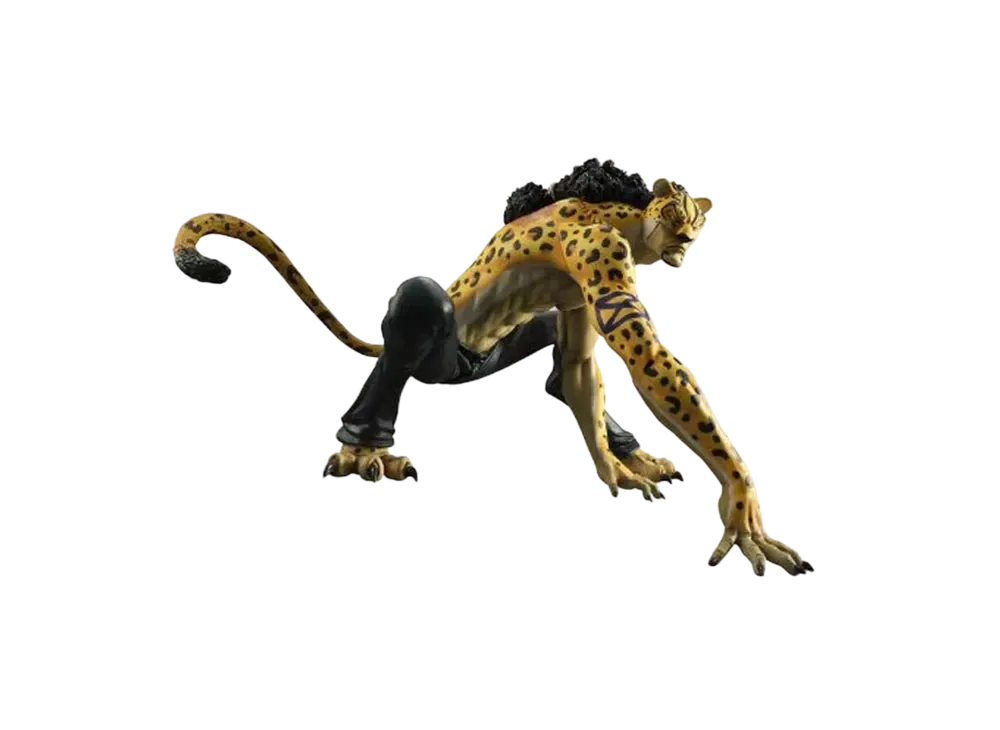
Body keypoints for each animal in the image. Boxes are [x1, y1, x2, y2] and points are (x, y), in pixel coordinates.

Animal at [169, 158, 812, 577]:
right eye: (679, 208)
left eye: (696, 214)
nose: (689, 233)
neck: (619, 216)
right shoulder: (601, 263)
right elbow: (643, 353)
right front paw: (739, 500)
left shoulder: (577, 304)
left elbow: (582, 372)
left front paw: (617, 469)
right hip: (436, 348)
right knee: (415, 313)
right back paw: (365, 450)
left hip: (493, 349)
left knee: (553, 358)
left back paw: (633, 452)